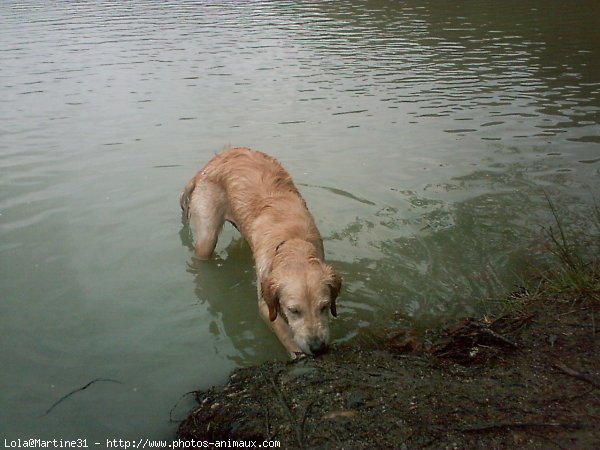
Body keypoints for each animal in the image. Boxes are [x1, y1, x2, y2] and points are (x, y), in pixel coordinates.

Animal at [179, 148, 342, 358]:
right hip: (207, 237)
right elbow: (286, 336)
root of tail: (211, 162)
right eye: (294, 311)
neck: (292, 240)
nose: (318, 348)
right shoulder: (266, 305)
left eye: (324, 307)